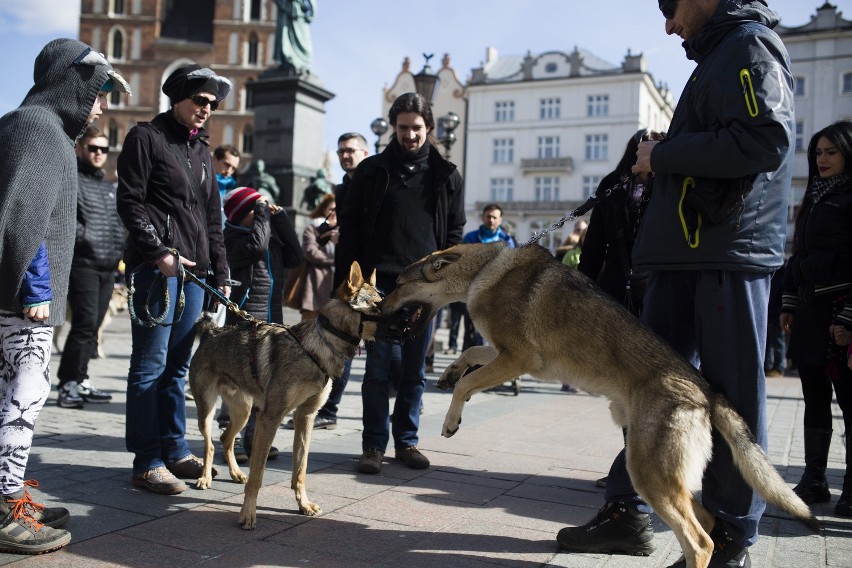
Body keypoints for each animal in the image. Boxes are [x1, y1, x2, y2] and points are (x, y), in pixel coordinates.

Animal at [193, 260, 382, 528]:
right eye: (379, 305)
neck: (317, 349)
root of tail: (212, 331)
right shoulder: (270, 418)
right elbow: (258, 476)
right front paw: (248, 514)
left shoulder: (305, 417)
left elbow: (300, 470)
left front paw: (304, 505)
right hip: (207, 410)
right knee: (210, 444)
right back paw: (205, 478)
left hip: (243, 412)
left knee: (226, 440)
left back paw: (236, 473)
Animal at [380, 242, 820, 568]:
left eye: (398, 285)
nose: (376, 309)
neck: (483, 270)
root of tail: (706, 391)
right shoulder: (505, 354)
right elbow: (470, 353)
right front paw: (449, 373)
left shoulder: (519, 358)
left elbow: (468, 382)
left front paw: (452, 420)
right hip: (658, 475)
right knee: (707, 522)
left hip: (648, 474)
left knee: (701, 542)